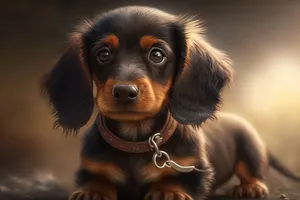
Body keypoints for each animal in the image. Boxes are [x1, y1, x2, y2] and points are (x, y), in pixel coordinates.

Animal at [40, 6, 300, 200]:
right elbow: (96, 178)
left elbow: (177, 179)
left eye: (157, 54)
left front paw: (168, 191)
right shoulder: (90, 167)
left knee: (252, 171)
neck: (136, 141)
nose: (124, 92)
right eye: (103, 54)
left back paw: (251, 186)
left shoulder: (195, 170)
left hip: (250, 147)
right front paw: (93, 191)